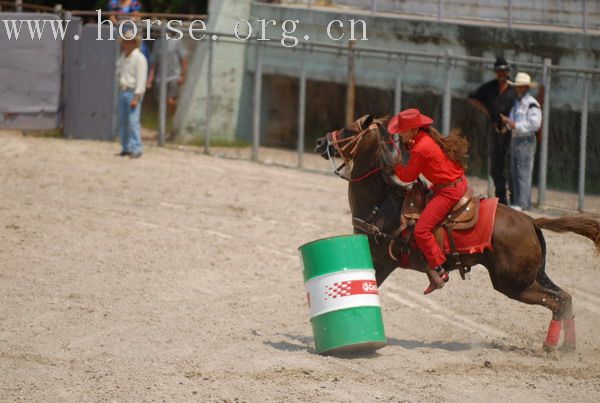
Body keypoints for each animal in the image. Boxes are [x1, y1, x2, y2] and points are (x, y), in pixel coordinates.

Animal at [314, 114, 600, 354]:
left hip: (514, 284)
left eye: (350, 129)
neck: (382, 202)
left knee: (556, 302)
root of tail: (531, 221)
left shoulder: (381, 260)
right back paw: (568, 348)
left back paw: (550, 347)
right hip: (534, 276)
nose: (319, 142)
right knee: (565, 298)